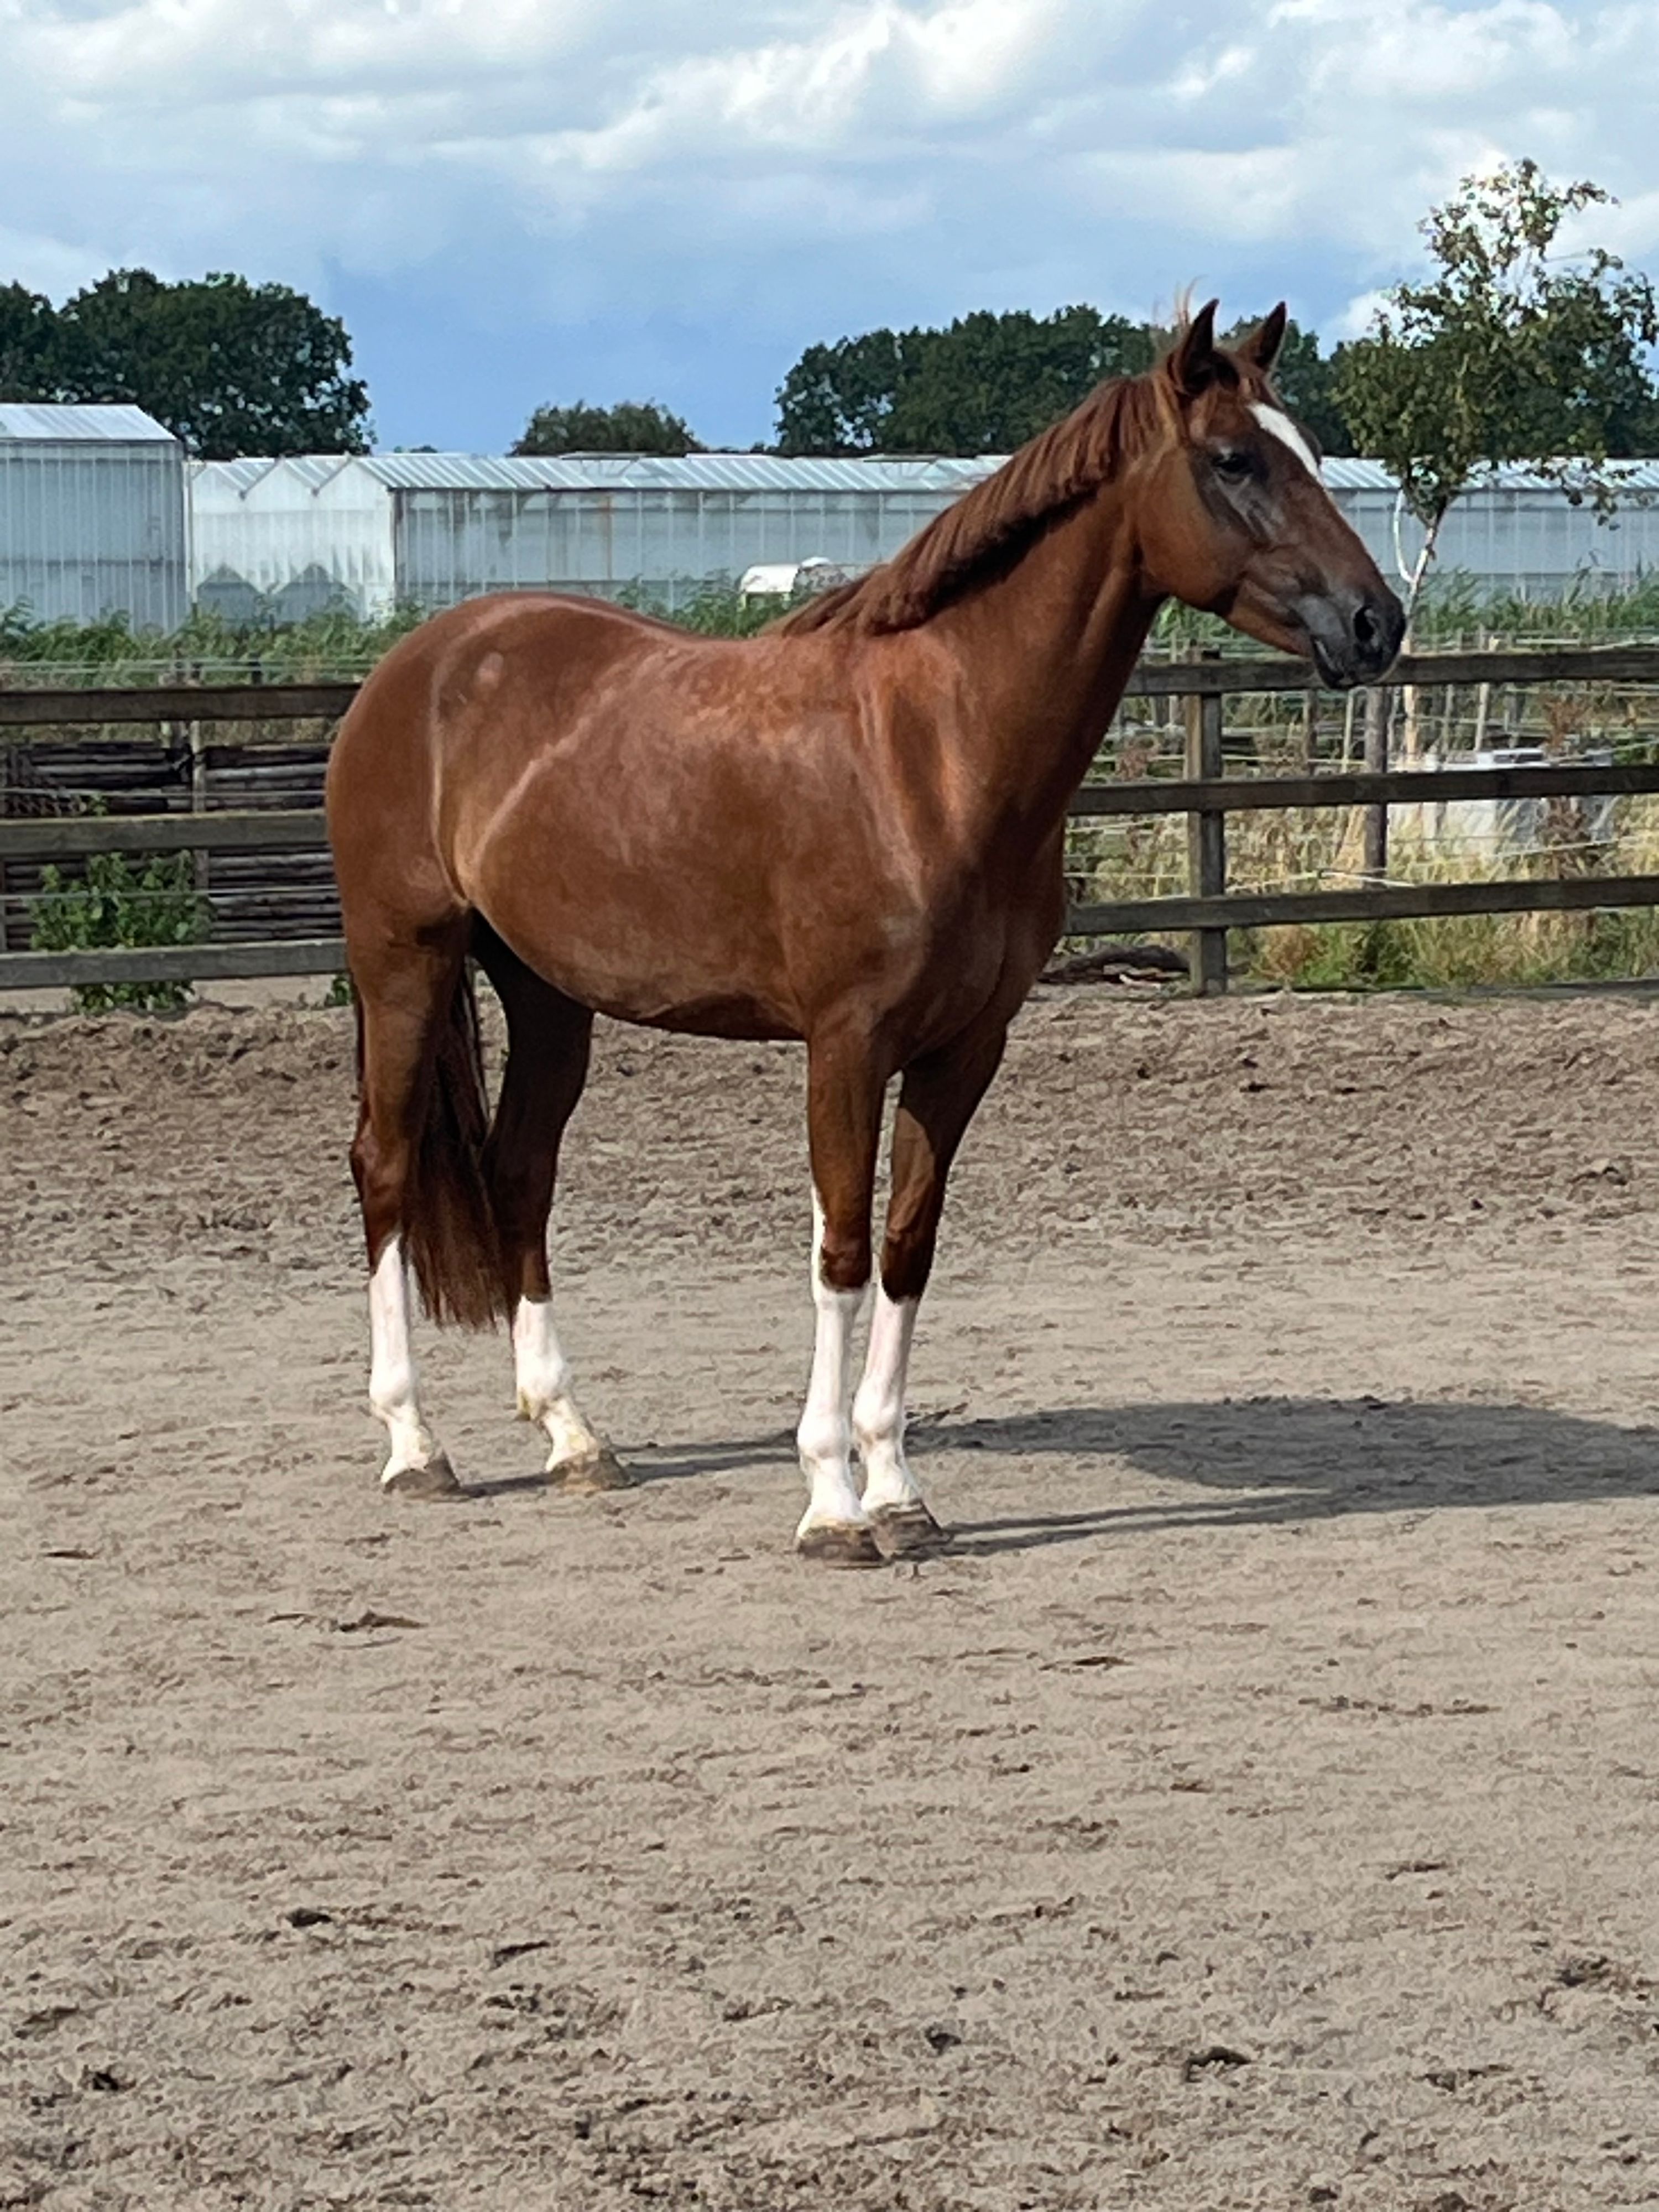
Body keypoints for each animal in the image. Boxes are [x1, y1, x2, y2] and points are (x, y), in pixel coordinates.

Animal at [325, 300, 1404, 1564]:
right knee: (388, 1167)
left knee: (518, 1172)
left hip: (549, 996)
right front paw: (832, 1504)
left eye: (1311, 453)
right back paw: (416, 1447)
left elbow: (905, 1245)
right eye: (1236, 460)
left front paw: (897, 1490)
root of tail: (420, 663)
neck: (932, 753)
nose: (1376, 622)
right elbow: (839, 1251)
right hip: (404, 963)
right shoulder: (846, 1045)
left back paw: (574, 1437)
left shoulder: (963, 1048)